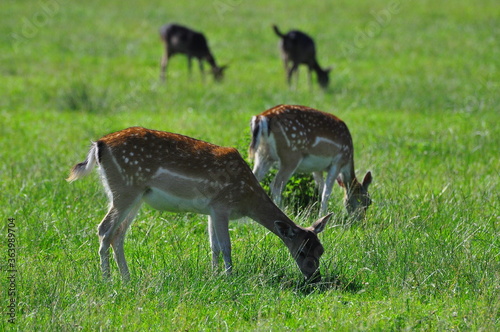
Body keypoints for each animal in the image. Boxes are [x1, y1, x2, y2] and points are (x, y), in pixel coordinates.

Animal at [66, 126, 332, 282]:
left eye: (321, 250)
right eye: (301, 251)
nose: (315, 277)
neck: (246, 198)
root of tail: (99, 145)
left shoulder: (210, 210)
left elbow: (213, 246)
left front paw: (214, 276)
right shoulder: (221, 206)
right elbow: (226, 246)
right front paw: (229, 277)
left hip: (134, 196)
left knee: (118, 233)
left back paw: (127, 278)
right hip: (125, 190)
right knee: (104, 229)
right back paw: (107, 280)